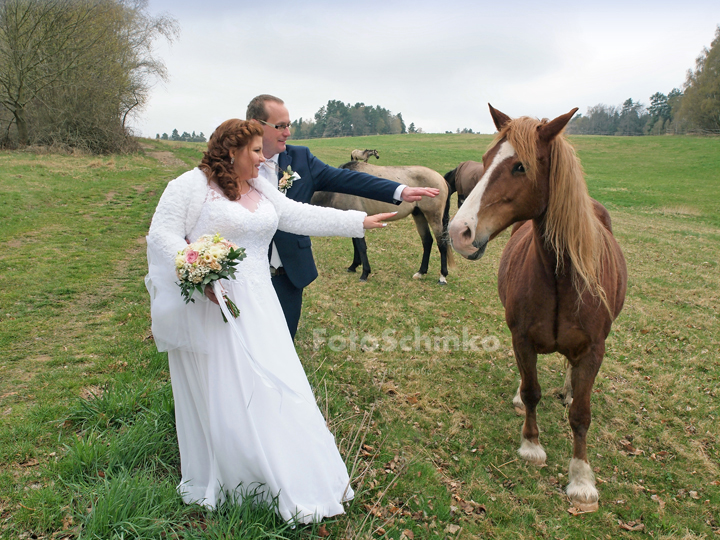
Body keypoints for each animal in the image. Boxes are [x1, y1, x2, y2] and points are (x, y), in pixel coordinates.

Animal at [312, 160, 452, 284]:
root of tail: (441, 178)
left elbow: (361, 246)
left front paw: (364, 273)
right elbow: (356, 244)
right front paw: (353, 266)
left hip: (433, 216)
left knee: (441, 243)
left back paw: (442, 277)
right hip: (419, 215)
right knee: (427, 241)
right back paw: (421, 272)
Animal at [448, 105, 628, 510]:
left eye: (520, 167)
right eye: (485, 160)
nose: (458, 232)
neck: (561, 277)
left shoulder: (593, 350)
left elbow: (581, 415)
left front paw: (581, 478)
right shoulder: (522, 338)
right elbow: (531, 390)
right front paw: (531, 445)